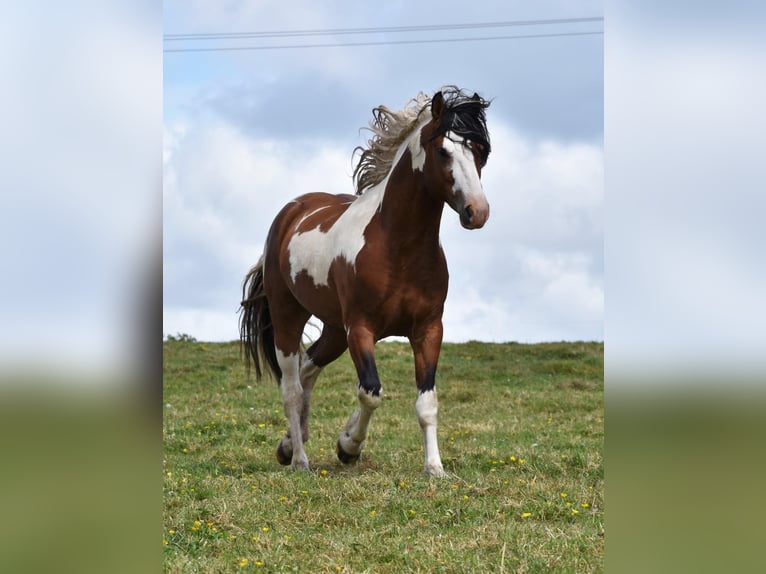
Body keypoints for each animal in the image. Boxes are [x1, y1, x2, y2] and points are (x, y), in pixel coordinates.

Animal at [238, 86, 492, 476]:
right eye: (443, 150)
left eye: (481, 152)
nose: (477, 212)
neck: (397, 247)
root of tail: (292, 211)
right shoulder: (360, 329)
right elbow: (370, 392)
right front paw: (348, 446)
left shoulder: (428, 329)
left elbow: (427, 402)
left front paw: (434, 468)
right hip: (288, 318)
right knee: (292, 387)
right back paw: (299, 459)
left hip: (333, 330)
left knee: (308, 369)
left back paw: (288, 444)